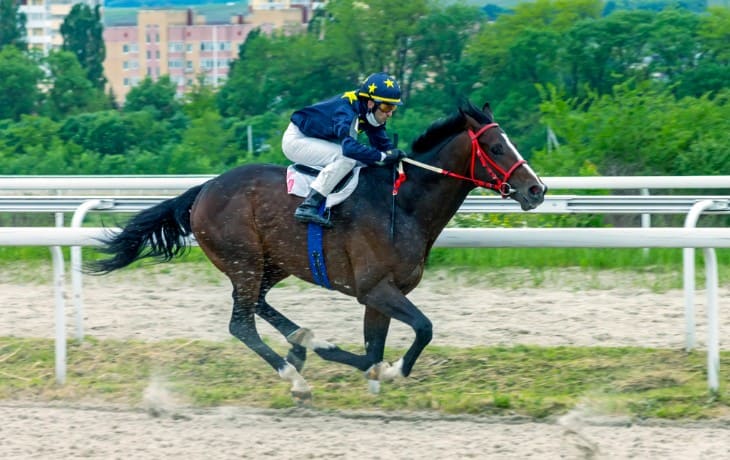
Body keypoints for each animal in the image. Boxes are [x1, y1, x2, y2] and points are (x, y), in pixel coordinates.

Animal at [88, 99, 544, 398]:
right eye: (497, 147)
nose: (536, 190)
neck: (403, 204)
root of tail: (203, 190)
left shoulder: (382, 295)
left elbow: (375, 346)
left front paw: (351, 359)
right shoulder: (375, 288)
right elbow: (418, 331)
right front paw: (388, 371)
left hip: (272, 263)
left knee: (258, 305)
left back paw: (301, 340)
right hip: (244, 259)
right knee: (241, 323)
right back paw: (295, 376)